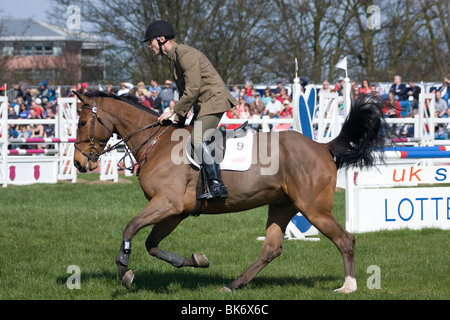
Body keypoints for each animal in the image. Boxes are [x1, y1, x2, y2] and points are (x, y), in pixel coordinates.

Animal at [72, 89, 388, 292]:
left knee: (345, 240)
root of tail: (323, 147)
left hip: (313, 208)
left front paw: (124, 270)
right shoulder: (176, 212)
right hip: (283, 205)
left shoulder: (167, 204)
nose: (78, 163)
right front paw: (195, 260)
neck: (156, 142)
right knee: (271, 248)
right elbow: (152, 244)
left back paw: (348, 286)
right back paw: (233, 285)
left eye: (83, 122)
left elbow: (131, 227)